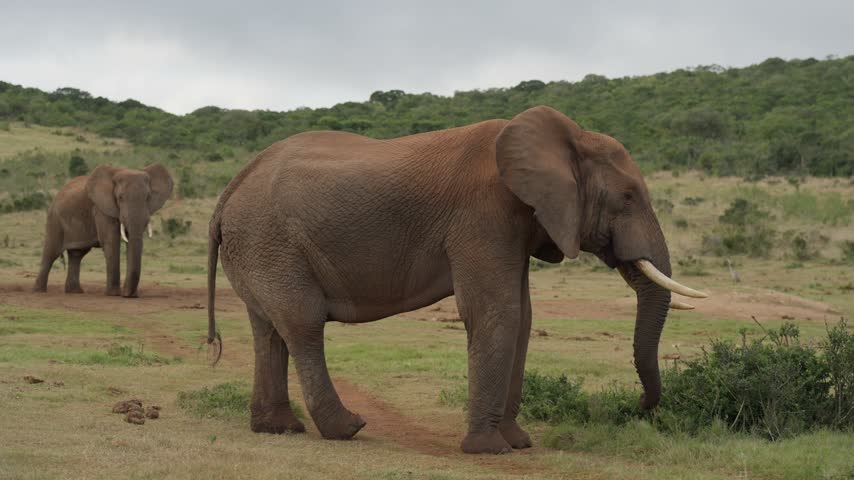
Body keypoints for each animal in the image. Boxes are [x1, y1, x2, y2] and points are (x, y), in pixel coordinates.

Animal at [33, 164, 173, 297]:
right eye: (120, 197)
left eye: (148, 197)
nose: (129, 295)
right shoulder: (102, 209)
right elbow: (111, 242)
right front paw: (114, 294)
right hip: (54, 219)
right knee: (51, 253)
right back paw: (39, 290)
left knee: (77, 254)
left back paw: (75, 292)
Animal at [205, 106, 707, 454]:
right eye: (628, 197)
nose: (637, 408)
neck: (567, 137)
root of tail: (229, 189)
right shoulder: (484, 213)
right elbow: (497, 313)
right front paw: (491, 450)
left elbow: (523, 318)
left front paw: (519, 442)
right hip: (271, 241)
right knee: (303, 323)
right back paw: (347, 428)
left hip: (259, 248)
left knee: (268, 330)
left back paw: (278, 428)